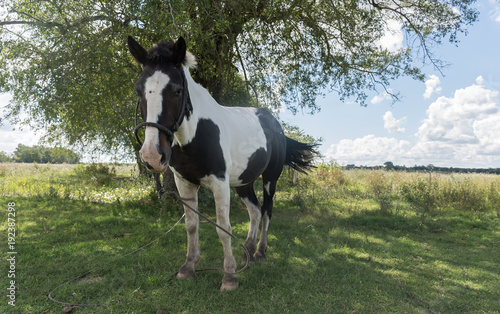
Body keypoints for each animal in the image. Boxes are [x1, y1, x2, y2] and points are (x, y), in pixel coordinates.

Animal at [128, 35, 316, 290]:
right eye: (139, 90)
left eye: (177, 90)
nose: (152, 156)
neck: (196, 135)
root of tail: (274, 124)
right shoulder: (184, 182)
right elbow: (191, 225)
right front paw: (188, 267)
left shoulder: (219, 182)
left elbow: (223, 228)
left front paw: (229, 276)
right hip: (243, 182)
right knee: (255, 211)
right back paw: (247, 251)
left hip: (270, 178)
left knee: (267, 211)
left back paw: (260, 252)